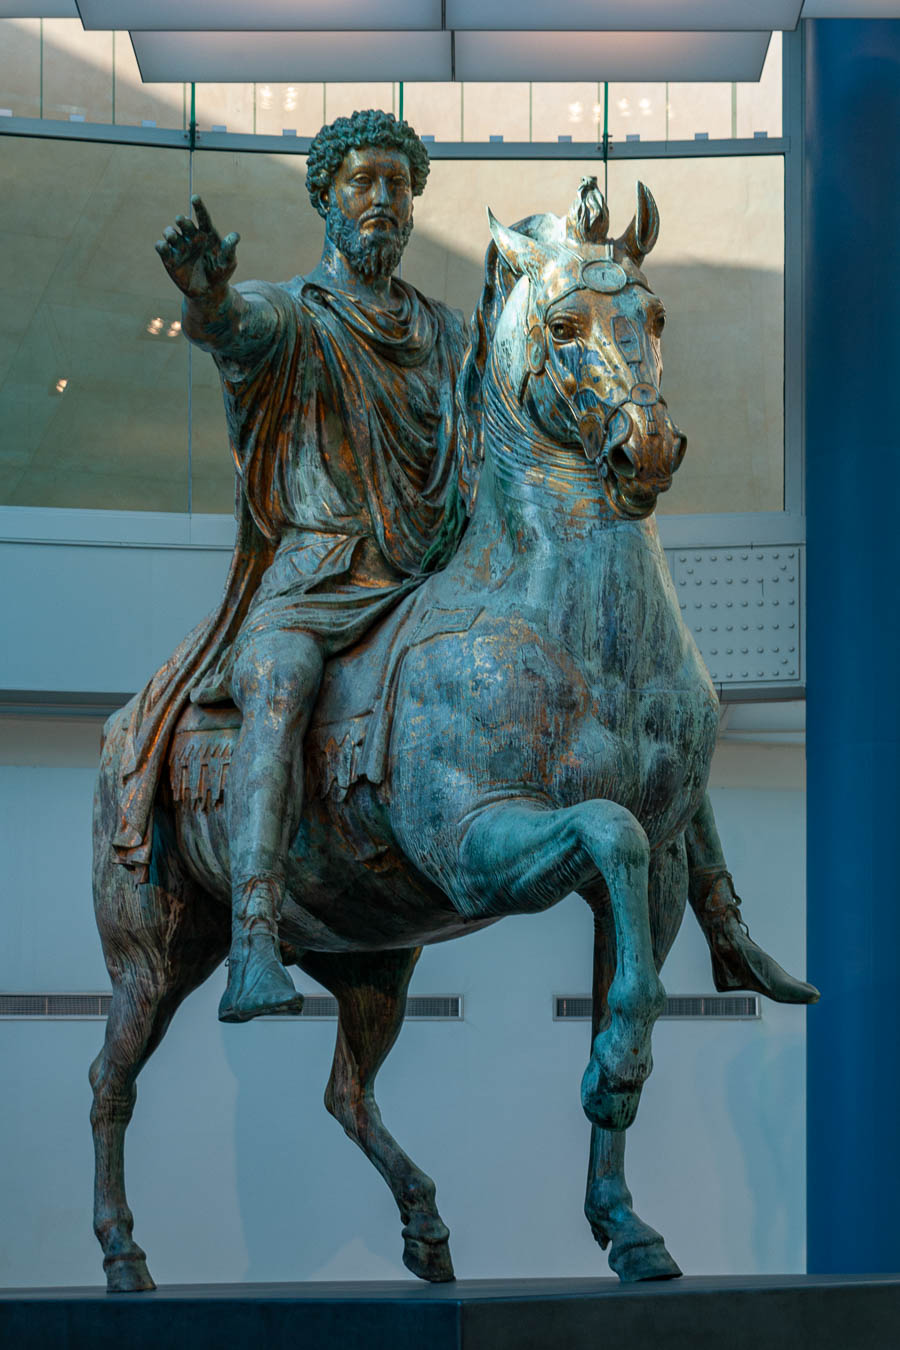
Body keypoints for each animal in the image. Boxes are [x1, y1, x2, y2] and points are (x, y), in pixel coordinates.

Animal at [89, 174, 717, 1290]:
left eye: (654, 316)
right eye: (564, 325)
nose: (645, 452)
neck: (567, 628)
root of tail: (124, 723)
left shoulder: (662, 877)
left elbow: (629, 964)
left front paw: (628, 1222)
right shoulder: (477, 844)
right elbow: (609, 832)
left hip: (376, 960)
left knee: (347, 1090)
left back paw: (427, 1229)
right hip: (151, 949)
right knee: (108, 1081)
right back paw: (125, 1253)